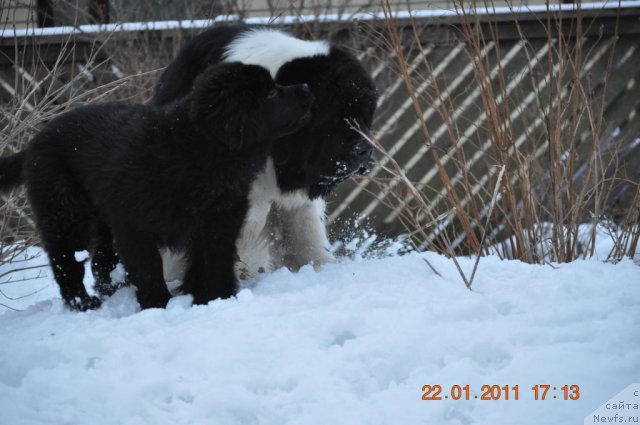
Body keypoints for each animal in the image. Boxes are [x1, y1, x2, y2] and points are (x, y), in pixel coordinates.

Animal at [0, 62, 312, 308]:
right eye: (270, 92)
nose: (307, 87)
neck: (199, 150)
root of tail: (34, 143)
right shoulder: (134, 226)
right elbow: (148, 269)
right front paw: (158, 305)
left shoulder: (218, 221)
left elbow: (212, 262)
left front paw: (212, 298)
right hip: (64, 212)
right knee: (65, 260)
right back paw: (82, 302)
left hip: (101, 220)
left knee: (101, 262)